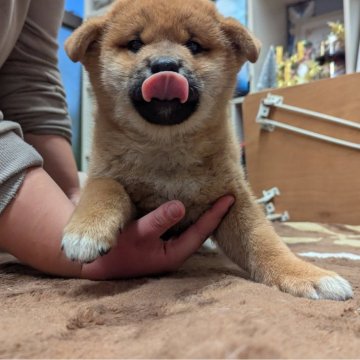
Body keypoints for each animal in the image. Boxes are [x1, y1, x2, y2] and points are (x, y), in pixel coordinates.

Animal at [62, 0, 352, 300]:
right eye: (135, 44)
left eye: (193, 45)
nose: (165, 65)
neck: (166, 148)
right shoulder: (106, 172)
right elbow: (104, 187)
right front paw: (86, 229)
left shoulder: (233, 199)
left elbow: (264, 241)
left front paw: (305, 273)